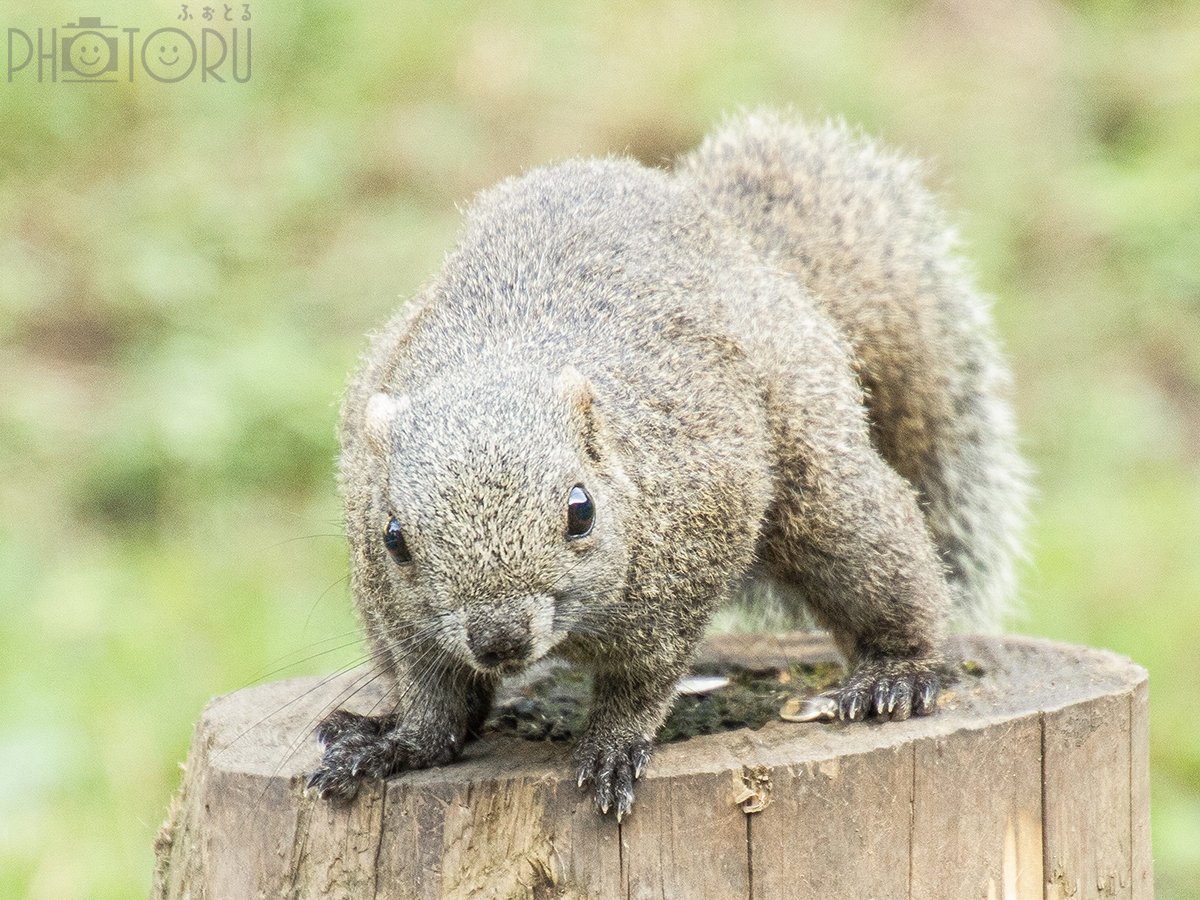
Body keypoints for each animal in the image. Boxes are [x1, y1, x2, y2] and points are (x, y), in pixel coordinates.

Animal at [304, 109, 1027, 820]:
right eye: (394, 537)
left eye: (580, 510)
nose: (500, 640)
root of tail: (740, 240)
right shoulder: (402, 613)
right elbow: (437, 698)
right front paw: (399, 745)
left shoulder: (688, 556)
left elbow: (644, 680)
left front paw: (613, 745)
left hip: (820, 472)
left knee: (882, 559)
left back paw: (895, 671)